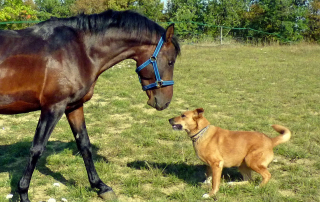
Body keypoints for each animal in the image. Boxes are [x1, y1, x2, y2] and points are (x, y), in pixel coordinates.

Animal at [0, 9, 180, 202]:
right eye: (170, 61)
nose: (165, 102)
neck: (79, 51)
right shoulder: (53, 107)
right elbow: (36, 149)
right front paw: (23, 193)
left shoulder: (74, 106)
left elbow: (84, 145)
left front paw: (100, 186)